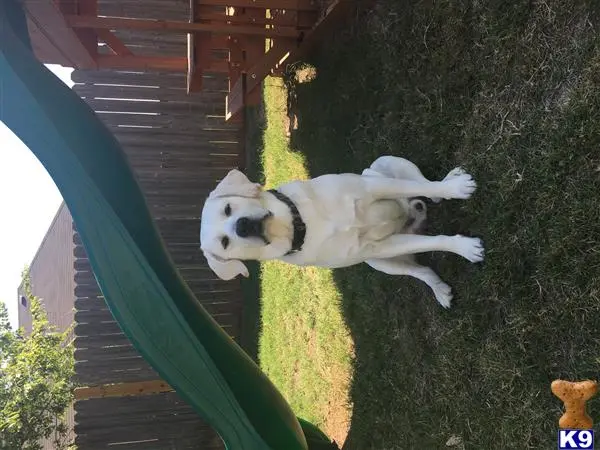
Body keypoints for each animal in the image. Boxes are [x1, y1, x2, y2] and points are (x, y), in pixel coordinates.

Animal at [200, 156, 482, 308]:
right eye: (225, 243)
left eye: (228, 208)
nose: (242, 226)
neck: (301, 225)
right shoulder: (378, 246)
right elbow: (430, 243)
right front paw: (465, 248)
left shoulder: (374, 188)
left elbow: (431, 191)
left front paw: (456, 189)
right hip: (381, 262)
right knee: (421, 270)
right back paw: (439, 289)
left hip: (382, 165)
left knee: (425, 187)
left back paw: (449, 180)